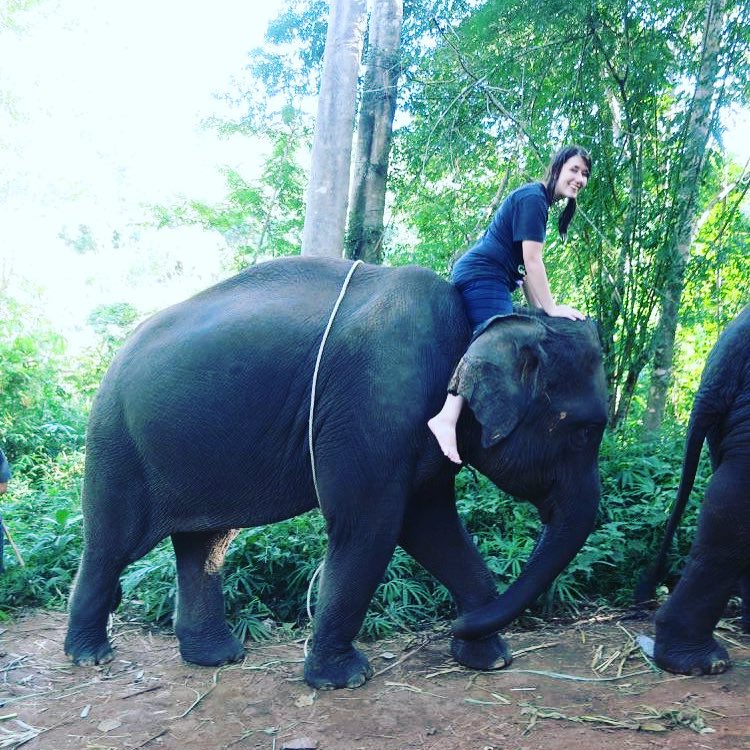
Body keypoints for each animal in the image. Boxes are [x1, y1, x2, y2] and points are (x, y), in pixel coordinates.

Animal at [64, 256, 608, 689]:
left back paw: (218, 657)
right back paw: (91, 655)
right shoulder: (373, 404)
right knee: (112, 543)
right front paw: (343, 680)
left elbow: (429, 526)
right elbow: (371, 525)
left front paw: (490, 660)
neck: (478, 325)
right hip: (116, 443)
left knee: (206, 543)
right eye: (585, 432)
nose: (449, 626)